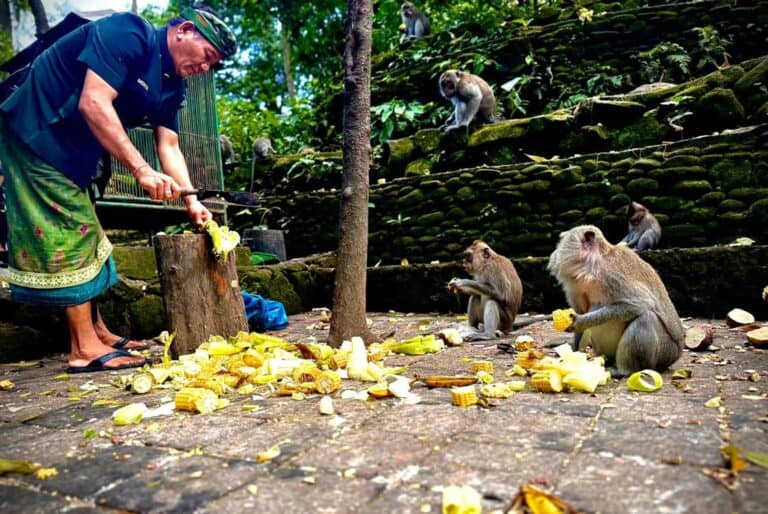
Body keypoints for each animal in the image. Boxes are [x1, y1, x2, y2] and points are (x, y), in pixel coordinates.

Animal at [547, 225, 684, 377]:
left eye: (561, 241)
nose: (554, 252)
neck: (592, 269)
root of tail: (676, 354)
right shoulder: (575, 286)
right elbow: (581, 311)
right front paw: (573, 353)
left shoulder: (612, 276)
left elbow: (640, 304)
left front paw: (580, 321)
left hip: (665, 352)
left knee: (646, 318)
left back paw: (624, 370)